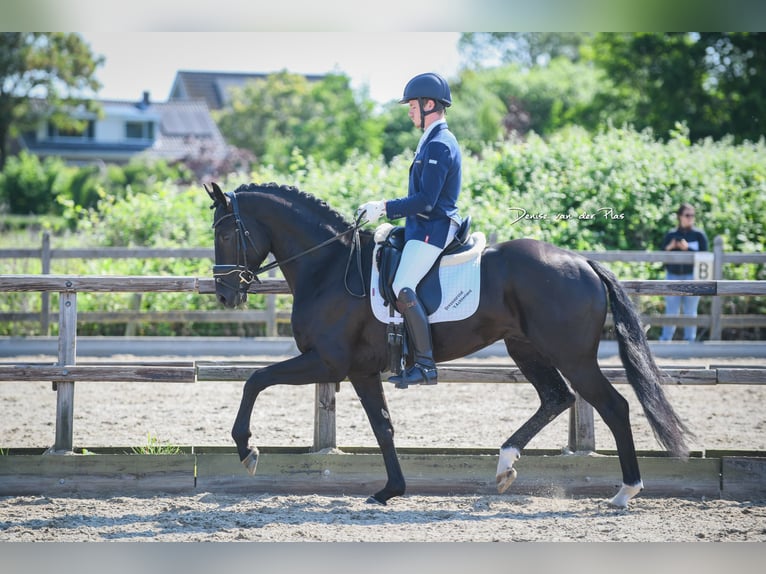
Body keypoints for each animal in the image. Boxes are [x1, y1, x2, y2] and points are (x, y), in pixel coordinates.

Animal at [205, 181, 692, 508]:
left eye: (226, 234)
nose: (226, 296)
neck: (327, 267)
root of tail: (584, 262)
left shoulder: (326, 362)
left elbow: (254, 379)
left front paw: (247, 450)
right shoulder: (360, 370)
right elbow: (383, 427)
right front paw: (390, 490)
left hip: (572, 356)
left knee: (612, 406)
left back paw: (625, 491)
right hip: (526, 348)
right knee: (557, 398)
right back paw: (505, 466)